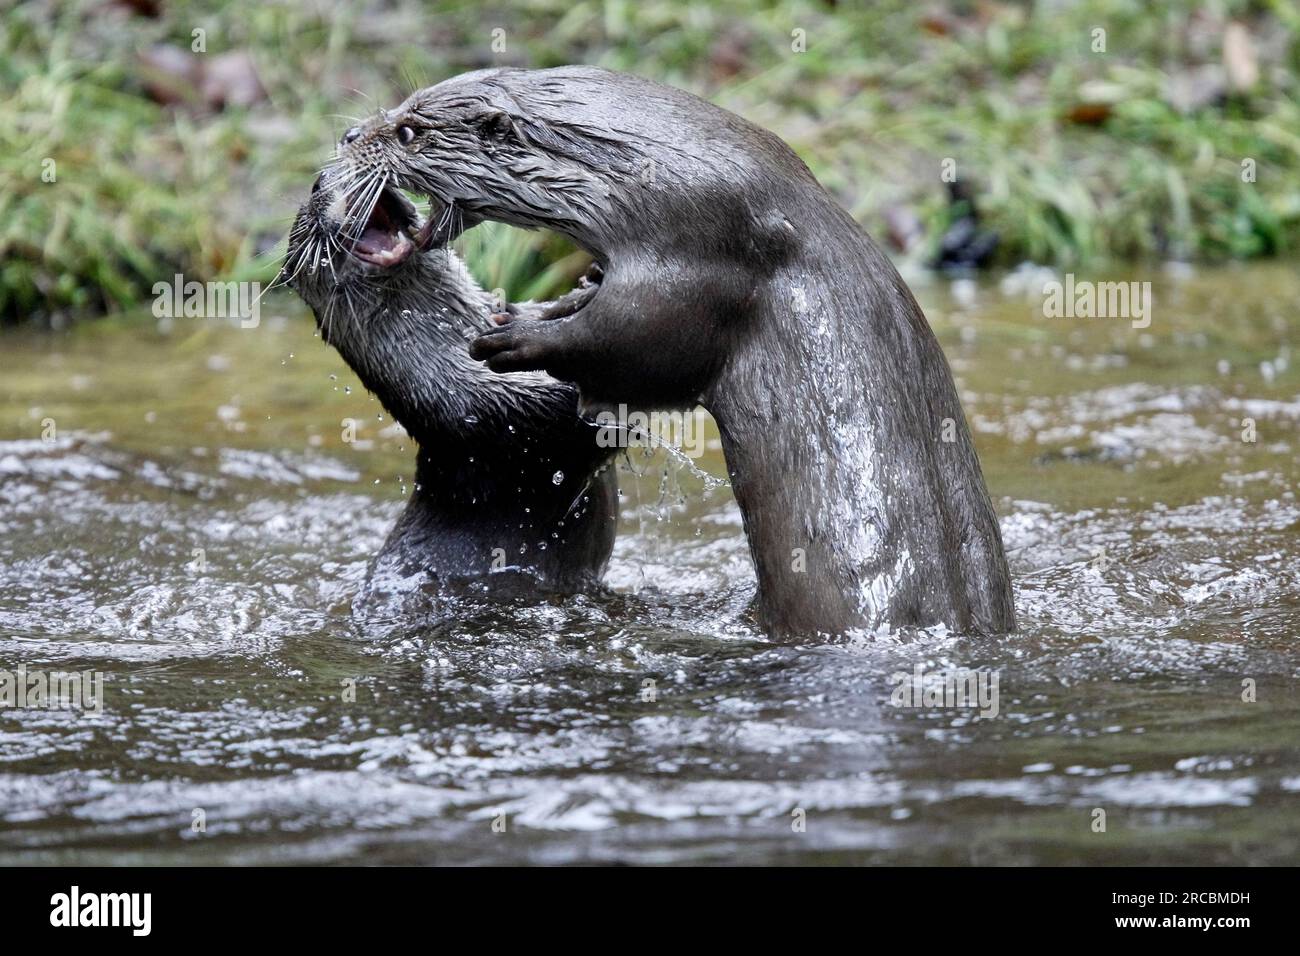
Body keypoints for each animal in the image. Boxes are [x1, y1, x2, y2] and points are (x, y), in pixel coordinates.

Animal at [340, 65, 1019, 634]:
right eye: (400, 105)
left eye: (407, 131)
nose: (349, 134)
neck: (637, 181)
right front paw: (541, 305)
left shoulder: (693, 264)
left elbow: (634, 345)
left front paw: (515, 338)